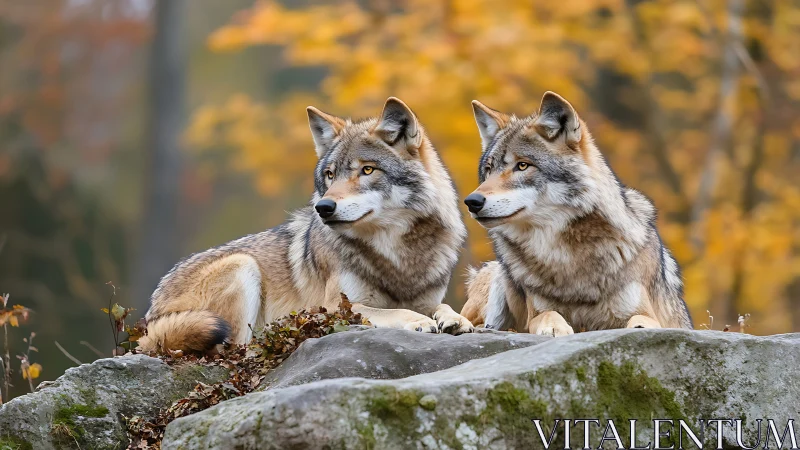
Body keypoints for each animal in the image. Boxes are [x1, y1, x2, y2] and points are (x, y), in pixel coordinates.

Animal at [138, 97, 473, 353]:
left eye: (367, 170)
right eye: (329, 175)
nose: (323, 208)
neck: (397, 256)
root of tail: (149, 315)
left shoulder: (429, 298)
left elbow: (445, 308)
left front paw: (457, 320)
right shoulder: (335, 308)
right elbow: (394, 311)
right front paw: (418, 321)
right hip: (242, 266)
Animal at [460, 91, 693, 336]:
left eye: (522, 166)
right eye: (488, 170)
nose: (472, 201)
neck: (568, 254)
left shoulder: (645, 311)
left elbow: (643, 319)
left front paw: (640, 327)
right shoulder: (538, 311)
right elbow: (549, 314)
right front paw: (554, 327)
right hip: (496, 277)